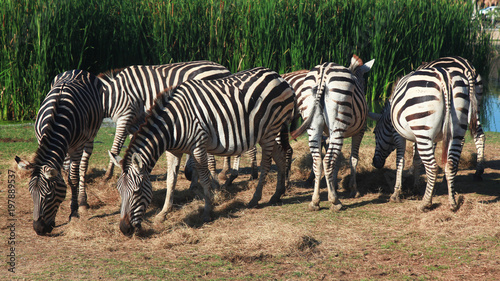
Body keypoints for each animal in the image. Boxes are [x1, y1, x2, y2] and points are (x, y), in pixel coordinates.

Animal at [14, 69, 103, 234]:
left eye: (50, 195)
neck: (56, 120)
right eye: (31, 193)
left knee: (83, 166)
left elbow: (73, 179)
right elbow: (64, 175)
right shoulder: (42, 141)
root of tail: (76, 69)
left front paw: (74, 213)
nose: (39, 229)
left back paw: (82, 202)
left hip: (90, 136)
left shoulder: (77, 147)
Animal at [98, 60, 233, 179]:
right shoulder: (134, 122)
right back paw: (225, 170)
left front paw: (107, 175)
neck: (114, 94)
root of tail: (224, 69)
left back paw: (224, 172)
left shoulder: (126, 115)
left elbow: (116, 145)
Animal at [109, 66, 294, 235]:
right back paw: (278, 194)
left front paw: (207, 211)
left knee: (266, 164)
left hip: (270, 129)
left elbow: (205, 180)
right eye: (119, 191)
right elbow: (170, 181)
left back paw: (256, 199)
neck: (172, 124)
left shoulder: (198, 147)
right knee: (280, 154)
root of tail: (277, 75)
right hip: (266, 133)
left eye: (137, 191)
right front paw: (163, 214)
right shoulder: (173, 151)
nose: (124, 229)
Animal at [288, 55, 374, 210]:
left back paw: (315, 202)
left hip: (314, 126)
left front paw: (333, 185)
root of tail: (323, 72)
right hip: (338, 123)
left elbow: (337, 160)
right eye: (363, 82)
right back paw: (335, 202)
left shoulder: (327, 135)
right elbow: (353, 158)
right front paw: (353, 190)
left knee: (317, 161)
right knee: (327, 161)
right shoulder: (360, 130)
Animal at [370, 66, 474, 211]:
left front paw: (396, 194)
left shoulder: (398, 135)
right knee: (451, 164)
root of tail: (444, 76)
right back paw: (452, 202)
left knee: (432, 167)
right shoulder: (421, 138)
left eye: (375, 133)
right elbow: (416, 160)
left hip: (423, 128)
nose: (374, 163)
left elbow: (400, 161)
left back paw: (425, 203)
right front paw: (416, 187)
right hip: (456, 131)